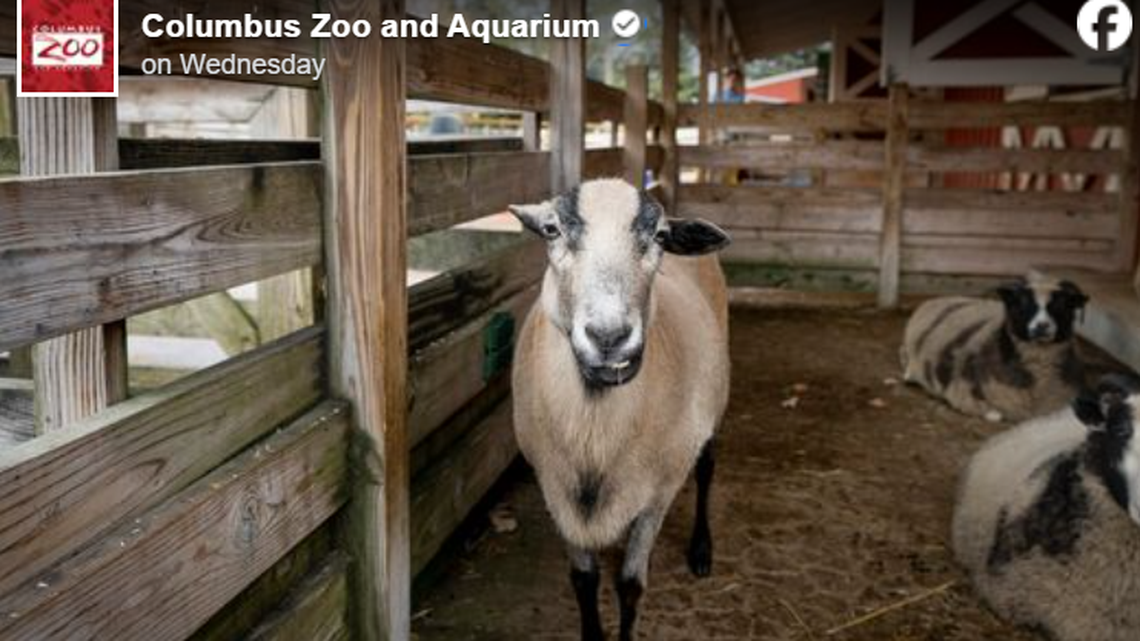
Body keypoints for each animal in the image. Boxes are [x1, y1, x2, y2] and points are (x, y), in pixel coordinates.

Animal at [508, 179, 730, 641]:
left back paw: (702, 549)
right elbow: (583, 580)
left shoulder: (658, 494)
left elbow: (631, 585)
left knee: (706, 468)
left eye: (661, 237)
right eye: (552, 229)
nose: (609, 337)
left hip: (715, 403)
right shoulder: (557, 490)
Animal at [900, 274, 1089, 422]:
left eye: (1063, 305)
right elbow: (995, 415)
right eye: (1021, 303)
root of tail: (938, 298)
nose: (1042, 326)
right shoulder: (962, 394)